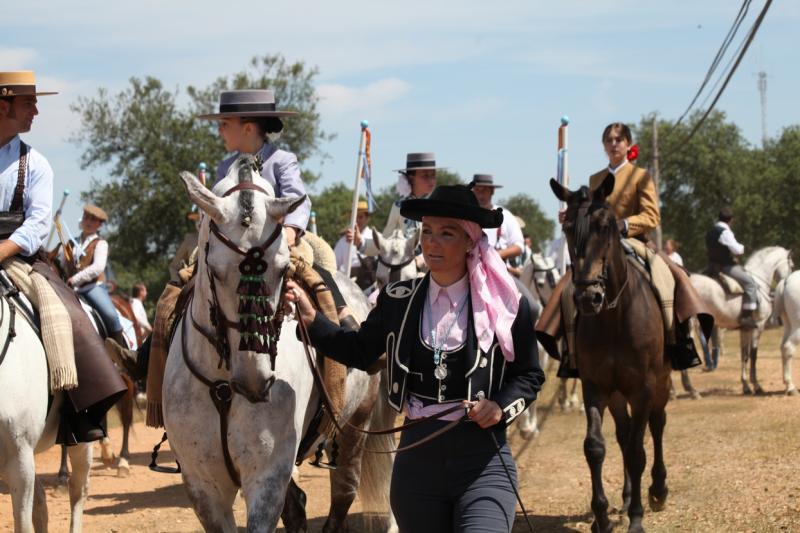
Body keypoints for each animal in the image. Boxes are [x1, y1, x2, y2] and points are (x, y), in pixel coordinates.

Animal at [163, 155, 396, 532]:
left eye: (283, 268)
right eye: (215, 269)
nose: (255, 381)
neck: (223, 386)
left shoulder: (267, 477)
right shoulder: (203, 486)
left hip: (354, 427)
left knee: (343, 491)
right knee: (297, 505)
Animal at [552, 176, 668, 532]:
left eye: (605, 226)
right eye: (567, 227)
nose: (587, 296)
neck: (615, 318)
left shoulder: (644, 388)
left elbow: (638, 451)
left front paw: (637, 519)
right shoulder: (596, 387)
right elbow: (596, 447)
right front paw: (601, 516)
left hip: (662, 381)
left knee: (656, 425)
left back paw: (658, 490)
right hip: (617, 395)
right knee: (624, 434)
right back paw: (629, 496)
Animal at [688, 247, 792, 392]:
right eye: (792, 265)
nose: (788, 283)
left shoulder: (745, 329)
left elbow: (744, 355)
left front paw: (746, 385)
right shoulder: (758, 326)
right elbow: (753, 355)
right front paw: (756, 385)